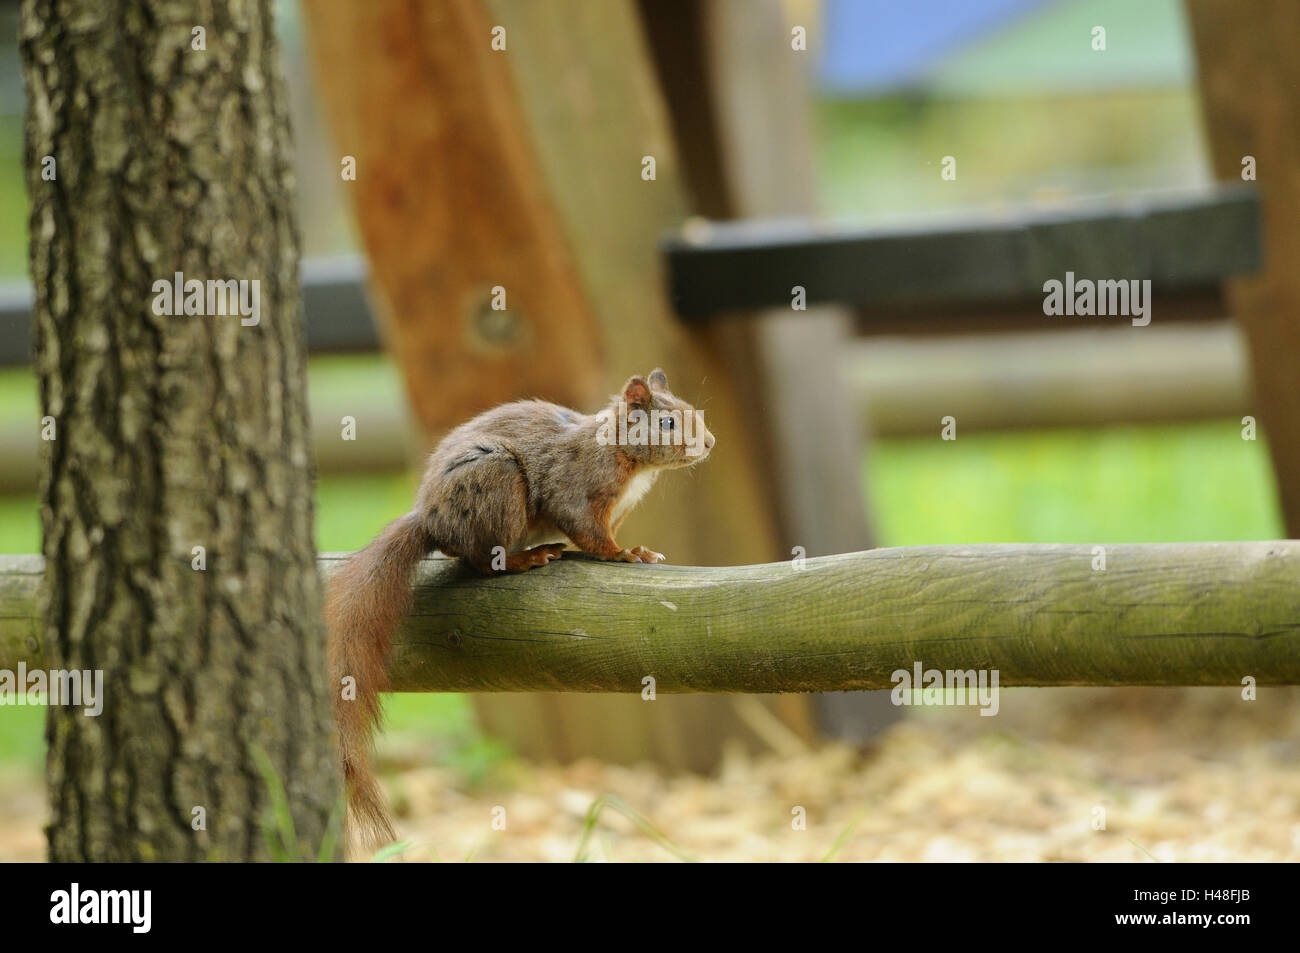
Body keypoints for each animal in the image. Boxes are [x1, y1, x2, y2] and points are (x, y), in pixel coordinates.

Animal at [325, 368, 715, 848]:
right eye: (668, 423)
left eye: (691, 410)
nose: (710, 443)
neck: (627, 458)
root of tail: (430, 518)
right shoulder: (576, 489)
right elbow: (589, 533)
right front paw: (626, 554)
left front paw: (635, 549)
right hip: (496, 484)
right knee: (478, 560)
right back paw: (526, 558)